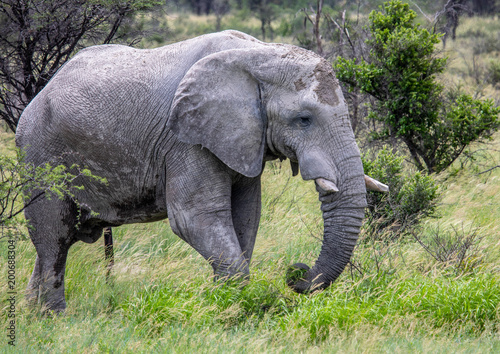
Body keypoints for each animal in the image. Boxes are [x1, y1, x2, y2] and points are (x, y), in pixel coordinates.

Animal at [15, 30, 388, 312]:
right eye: (304, 119)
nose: (295, 272)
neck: (259, 55)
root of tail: (37, 97)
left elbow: (246, 217)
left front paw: (226, 300)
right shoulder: (185, 138)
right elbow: (195, 218)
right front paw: (236, 307)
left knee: (57, 242)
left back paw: (32, 313)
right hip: (40, 156)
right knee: (53, 238)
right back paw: (55, 318)